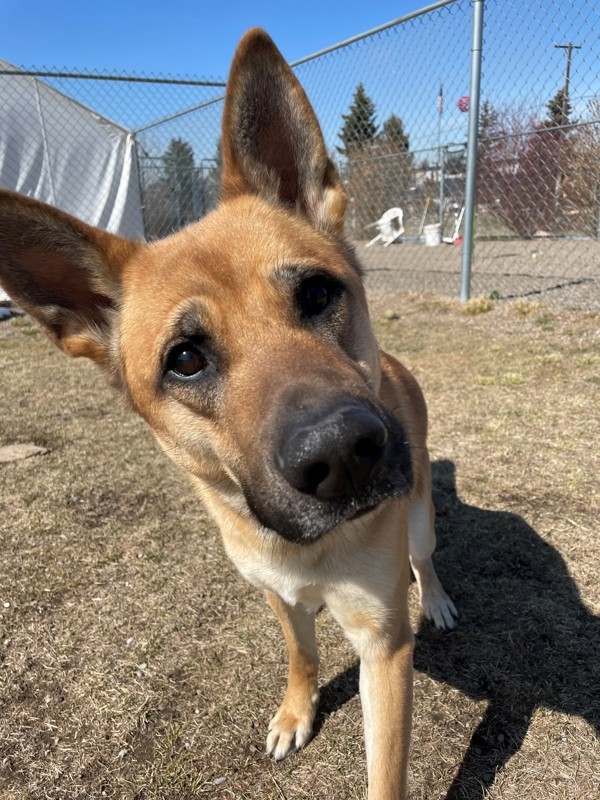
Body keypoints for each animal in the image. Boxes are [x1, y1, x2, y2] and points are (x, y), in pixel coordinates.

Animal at [0, 28, 458, 796]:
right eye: (185, 359)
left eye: (317, 293)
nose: (343, 453)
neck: (302, 549)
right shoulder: (277, 596)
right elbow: (301, 652)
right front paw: (296, 711)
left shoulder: (385, 646)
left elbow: (385, 773)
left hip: (419, 515)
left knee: (426, 558)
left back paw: (443, 598)